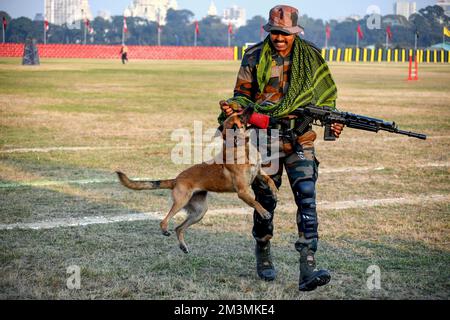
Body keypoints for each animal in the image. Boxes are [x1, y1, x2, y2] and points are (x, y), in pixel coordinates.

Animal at [116, 114, 278, 254]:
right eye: (241, 115)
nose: (250, 106)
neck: (242, 149)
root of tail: (176, 180)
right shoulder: (242, 192)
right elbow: (255, 203)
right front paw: (264, 212)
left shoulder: (258, 173)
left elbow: (269, 180)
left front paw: (275, 192)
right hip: (181, 202)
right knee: (165, 220)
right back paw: (165, 229)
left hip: (199, 212)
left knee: (179, 228)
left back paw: (183, 246)